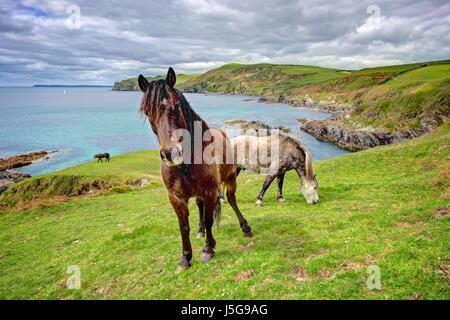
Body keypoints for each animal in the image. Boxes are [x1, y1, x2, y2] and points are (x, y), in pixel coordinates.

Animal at [139, 69, 251, 272]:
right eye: (147, 111)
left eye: (176, 105)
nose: (171, 153)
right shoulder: (176, 197)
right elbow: (184, 226)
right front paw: (185, 258)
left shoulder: (210, 191)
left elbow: (209, 219)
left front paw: (208, 249)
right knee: (200, 206)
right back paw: (200, 231)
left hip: (230, 179)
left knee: (231, 199)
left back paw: (245, 227)